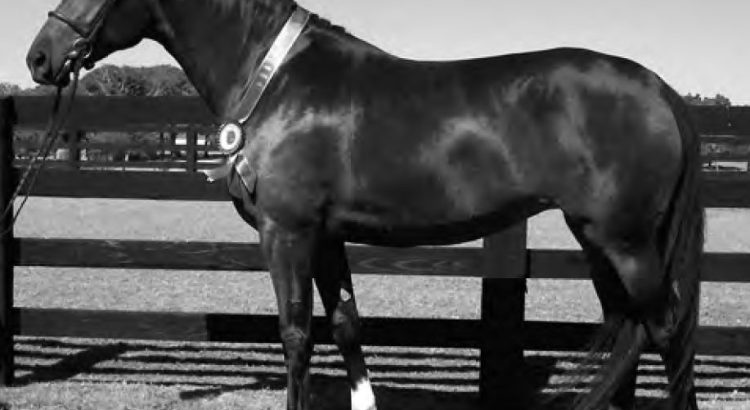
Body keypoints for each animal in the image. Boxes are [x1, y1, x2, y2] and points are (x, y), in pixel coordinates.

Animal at [26, 0, 704, 409]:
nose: (39, 56)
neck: (277, 81)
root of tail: (660, 89)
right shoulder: (327, 236)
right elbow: (347, 324)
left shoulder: (288, 232)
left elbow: (297, 332)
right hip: (597, 239)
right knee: (630, 330)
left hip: (627, 242)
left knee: (667, 330)